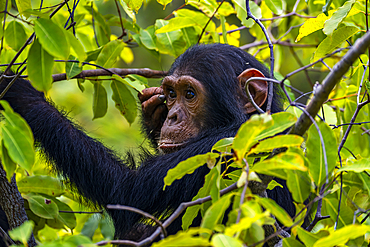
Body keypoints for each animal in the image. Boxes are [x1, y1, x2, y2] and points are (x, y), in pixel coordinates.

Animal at [0, 44, 294, 243]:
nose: (172, 116)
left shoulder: (222, 145)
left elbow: (125, 190)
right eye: (171, 94)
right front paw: (152, 113)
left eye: (190, 94)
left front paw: (22, 93)